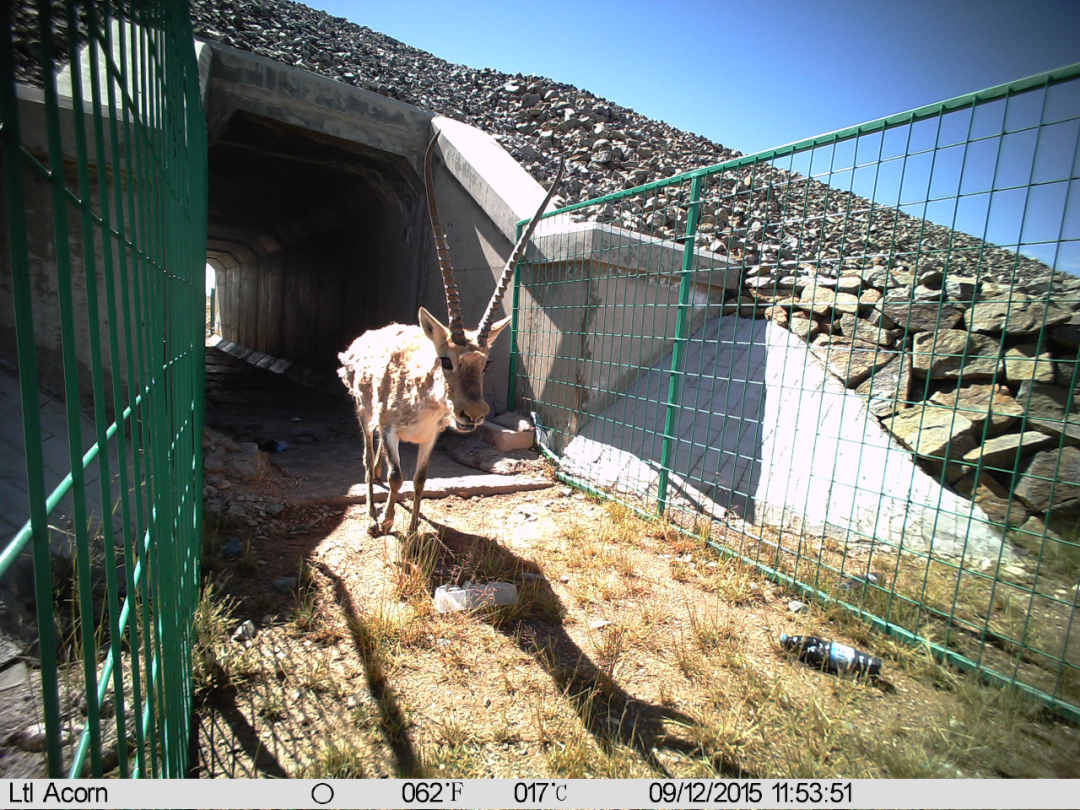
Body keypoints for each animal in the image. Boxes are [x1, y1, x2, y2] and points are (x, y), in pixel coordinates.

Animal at [336, 133, 561, 540]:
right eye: (445, 360)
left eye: (485, 363)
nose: (473, 414)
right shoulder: (391, 429)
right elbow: (397, 475)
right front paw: (388, 523)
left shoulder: (430, 437)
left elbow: (420, 478)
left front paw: (411, 529)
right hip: (364, 411)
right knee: (366, 454)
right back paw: (372, 516)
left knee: (376, 461)